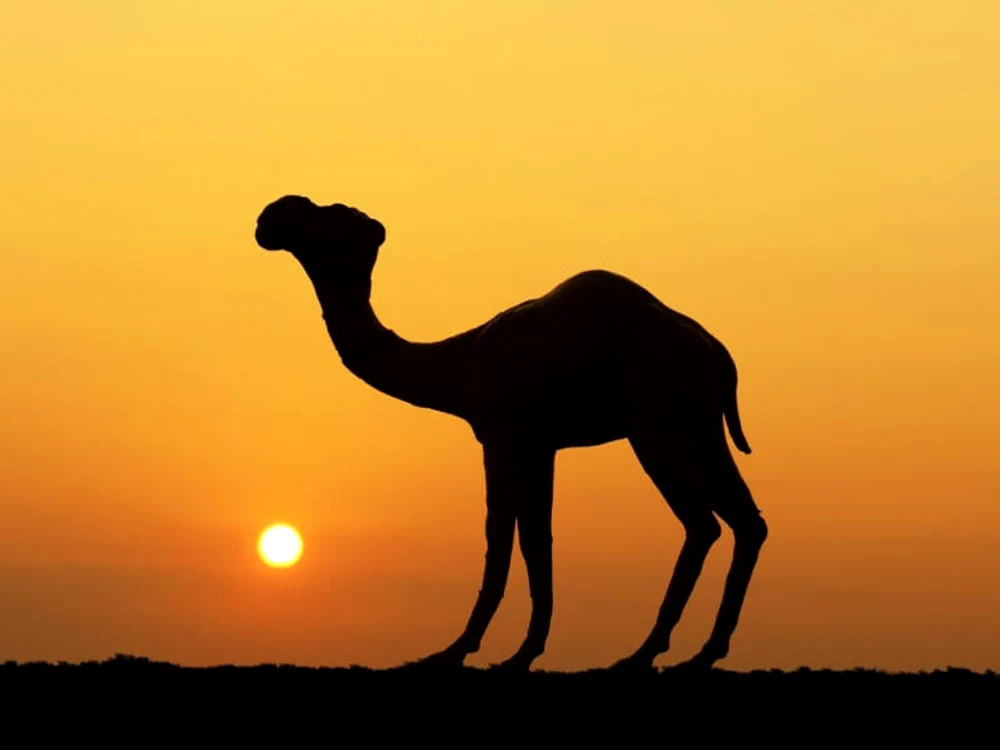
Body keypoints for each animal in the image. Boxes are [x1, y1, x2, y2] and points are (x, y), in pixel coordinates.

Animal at [254, 195, 768, 672]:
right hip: (702, 424)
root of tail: (717, 351)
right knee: (748, 521)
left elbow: (499, 534)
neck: (460, 365)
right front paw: (523, 652)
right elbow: (538, 537)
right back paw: (702, 654)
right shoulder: (540, 444)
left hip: (654, 421)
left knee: (701, 523)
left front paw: (455, 650)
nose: (271, 215)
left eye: (329, 216)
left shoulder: (501, 434)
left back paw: (640, 654)